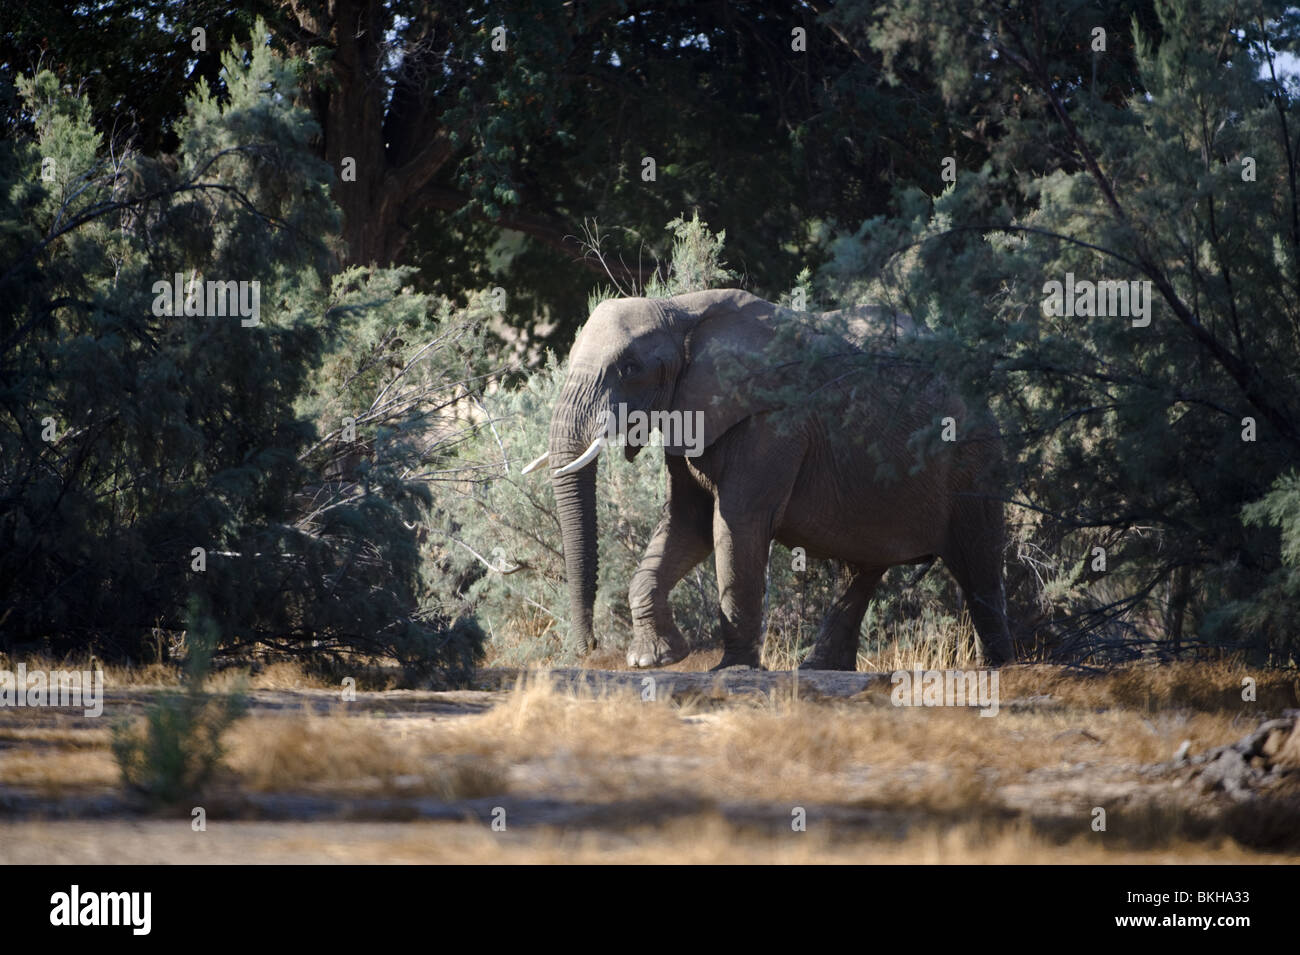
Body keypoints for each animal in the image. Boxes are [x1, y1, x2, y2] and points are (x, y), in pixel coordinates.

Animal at [520, 287, 1013, 670]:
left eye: (629, 368)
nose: (587, 648)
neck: (681, 310)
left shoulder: (774, 421)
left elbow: (735, 524)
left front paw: (731, 670)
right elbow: (687, 523)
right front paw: (655, 660)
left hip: (974, 458)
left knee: (979, 566)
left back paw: (1000, 670)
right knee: (863, 568)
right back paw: (821, 670)